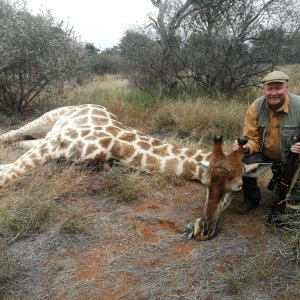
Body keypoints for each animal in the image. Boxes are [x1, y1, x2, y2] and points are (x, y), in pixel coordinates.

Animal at [0, 104, 260, 240]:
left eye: (236, 189)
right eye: (206, 184)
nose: (205, 230)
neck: (119, 146)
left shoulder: (67, 153)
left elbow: (10, 169)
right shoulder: (57, 143)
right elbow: (7, 177)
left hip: (49, 134)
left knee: (19, 142)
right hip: (51, 117)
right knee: (11, 134)